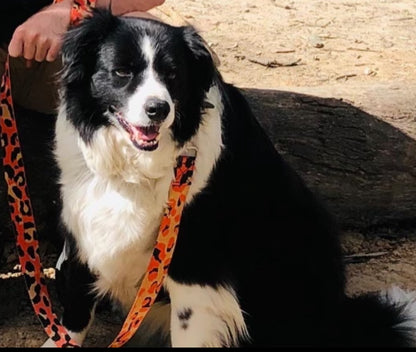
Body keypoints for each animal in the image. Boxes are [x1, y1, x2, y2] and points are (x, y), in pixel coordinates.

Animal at [41, 9, 416, 348]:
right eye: (121, 71)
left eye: (173, 75)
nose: (158, 110)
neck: (137, 166)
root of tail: (338, 317)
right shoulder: (84, 224)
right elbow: (75, 308)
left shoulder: (195, 267)